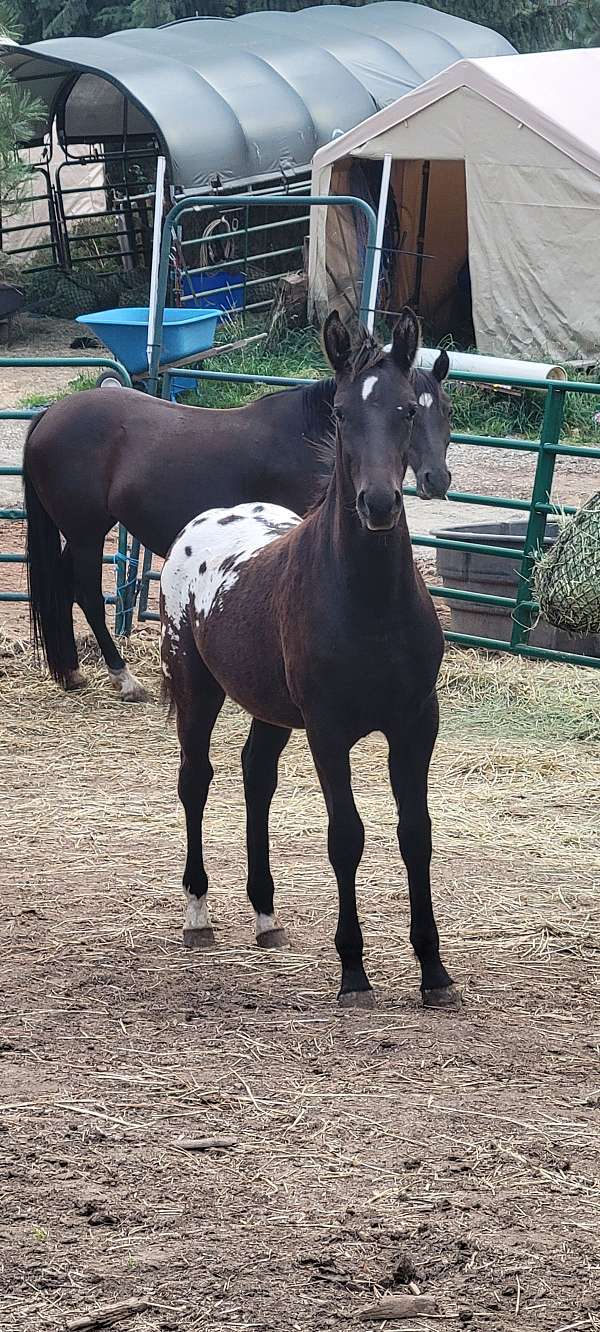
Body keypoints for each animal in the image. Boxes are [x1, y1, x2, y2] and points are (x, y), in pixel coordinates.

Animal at [22, 338, 450, 703]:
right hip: (86, 534)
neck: (308, 438)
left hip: (81, 533)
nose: (437, 479)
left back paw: (72, 673)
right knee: (87, 594)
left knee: (64, 587)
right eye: (414, 411)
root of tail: (51, 413)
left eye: (444, 411)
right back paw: (123, 678)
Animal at [162, 309, 456, 1001]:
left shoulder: (415, 725)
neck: (369, 605)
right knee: (196, 778)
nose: (379, 504)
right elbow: (346, 836)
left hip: (269, 709)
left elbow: (416, 835)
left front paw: (434, 971)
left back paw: (266, 915)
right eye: (342, 413)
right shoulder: (328, 730)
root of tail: (206, 521)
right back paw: (198, 915)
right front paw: (353, 969)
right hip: (196, 687)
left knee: (255, 775)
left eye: (409, 410)